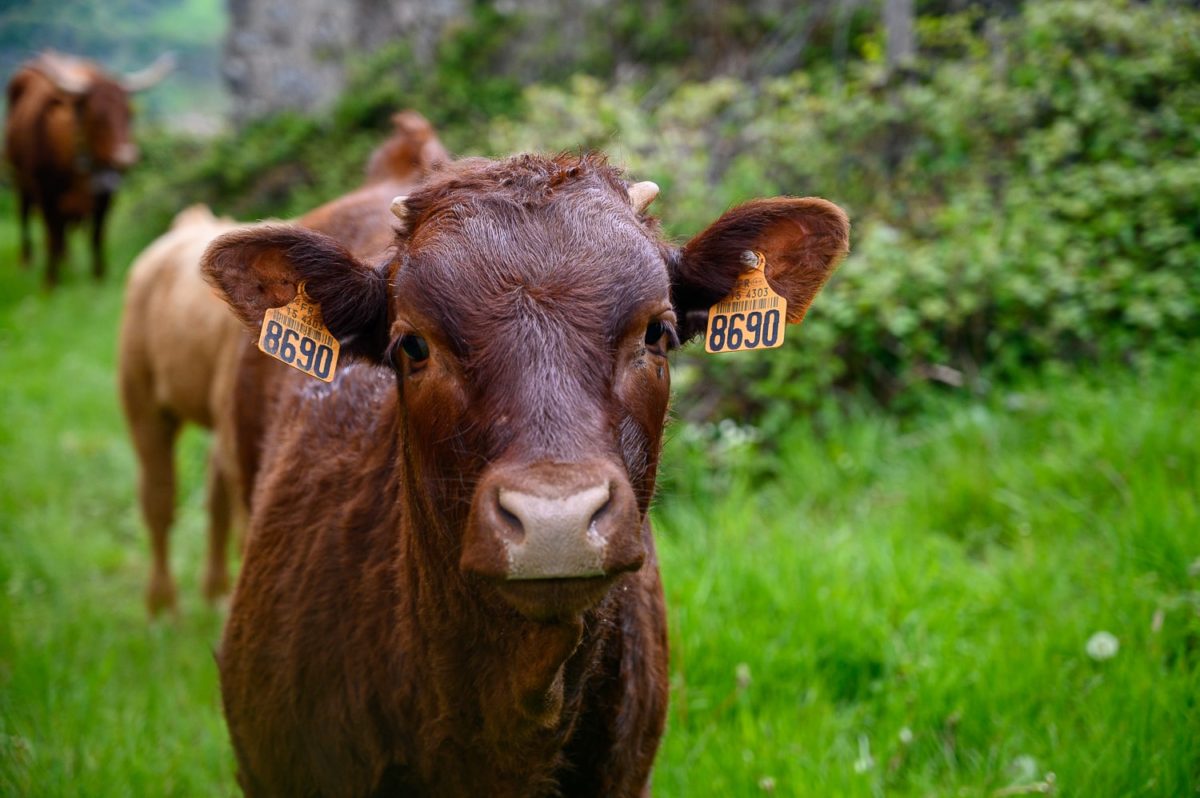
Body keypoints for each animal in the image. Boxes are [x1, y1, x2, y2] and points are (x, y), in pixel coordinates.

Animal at [2, 51, 172, 286]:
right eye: (97, 116)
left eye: (129, 113)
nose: (126, 157)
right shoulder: (46, 196)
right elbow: (51, 236)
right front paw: (50, 281)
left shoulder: (106, 196)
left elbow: (96, 235)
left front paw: (98, 276)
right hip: (20, 179)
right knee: (25, 214)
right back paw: (26, 260)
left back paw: (67, 260)